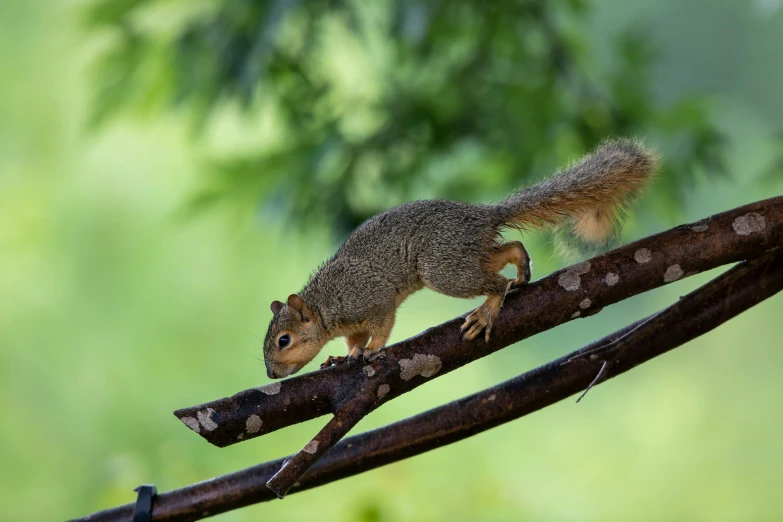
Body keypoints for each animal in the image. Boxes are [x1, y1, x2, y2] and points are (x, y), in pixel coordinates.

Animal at [262, 136, 656, 376]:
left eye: (284, 341)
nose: (270, 373)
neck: (326, 305)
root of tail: (483, 217)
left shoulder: (371, 299)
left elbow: (382, 327)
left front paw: (371, 350)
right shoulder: (352, 322)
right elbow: (352, 341)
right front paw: (344, 355)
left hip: (442, 268)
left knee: (495, 283)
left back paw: (487, 310)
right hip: (463, 256)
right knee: (508, 250)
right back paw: (522, 269)